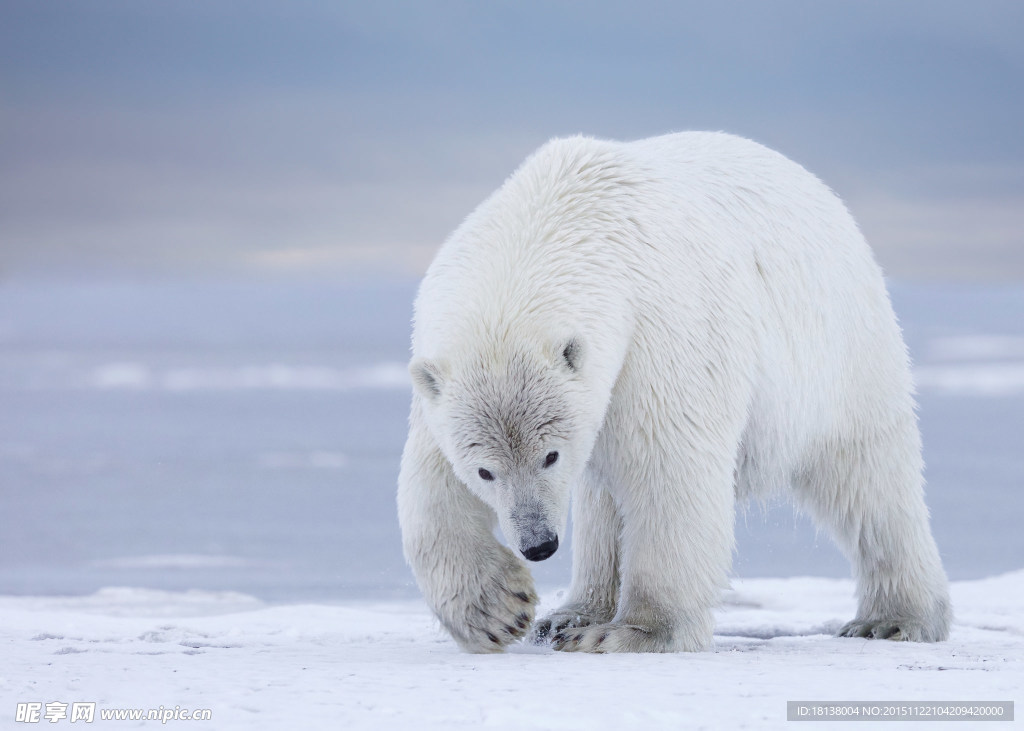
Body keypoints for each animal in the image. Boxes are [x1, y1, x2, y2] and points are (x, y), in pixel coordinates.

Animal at [397, 129, 950, 651]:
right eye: (485, 471)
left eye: (550, 456)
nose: (539, 544)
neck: (558, 217)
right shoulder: (438, 379)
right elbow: (430, 484)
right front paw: (498, 610)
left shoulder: (661, 330)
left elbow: (669, 466)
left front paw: (635, 632)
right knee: (602, 504)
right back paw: (571, 614)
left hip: (841, 354)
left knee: (870, 482)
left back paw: (895, 620)